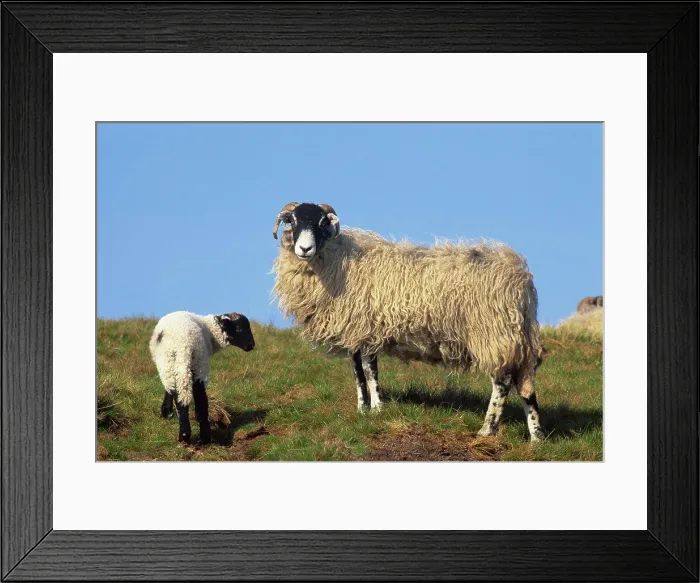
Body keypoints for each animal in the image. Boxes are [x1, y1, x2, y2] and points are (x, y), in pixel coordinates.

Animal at [149, 311, 255, 444]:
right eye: (240, 328)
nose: (251, 345)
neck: (210, 330)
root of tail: (183, 346)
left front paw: (166, 412)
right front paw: (167, 412)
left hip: (191, 364)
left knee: (192, 398)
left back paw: (191, 436)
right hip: (190, 363)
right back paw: (197, 436)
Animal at [271, 202, 545, 441]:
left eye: (321, 222)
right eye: (293, 220)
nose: (304, 249)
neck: (339, 262)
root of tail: (522, 278)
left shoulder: (367, 330)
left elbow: (370, 372)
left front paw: (377, 409)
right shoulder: (355, 332)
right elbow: (357, 373)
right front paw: (362, 409)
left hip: (492, 333)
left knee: (502, 381)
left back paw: (487, 430)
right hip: (513, 334)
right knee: (524, 384)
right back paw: (537, 437)